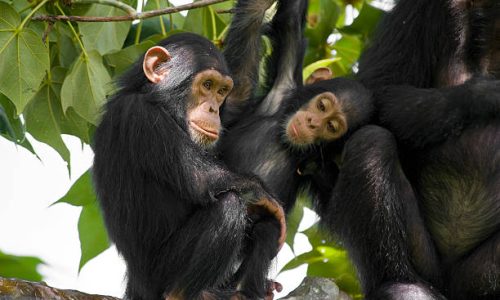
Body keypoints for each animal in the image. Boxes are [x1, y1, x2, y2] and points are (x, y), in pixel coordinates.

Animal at [92, 32, 286, 300]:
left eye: (222, 91)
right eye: (207, 85)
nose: (213, 109)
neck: (160, 103)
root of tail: (135, 284)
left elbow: (241, 93)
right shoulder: (141, 116)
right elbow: (201, 179)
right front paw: (267, 198)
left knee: (263, 228)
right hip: (160, 274)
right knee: (228, 206)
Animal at [218, 0, 372, 218]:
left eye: (331, 126)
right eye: (322, 106)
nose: (312, 123)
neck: (285, 141)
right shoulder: (284, 80)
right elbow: (286, 19)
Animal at [320, 0, 500, 300]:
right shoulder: (423, 8)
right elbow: (377, 91)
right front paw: (484, 94)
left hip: (480, 276)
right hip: (428, 263)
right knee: (371, 142)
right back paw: (401, 284)